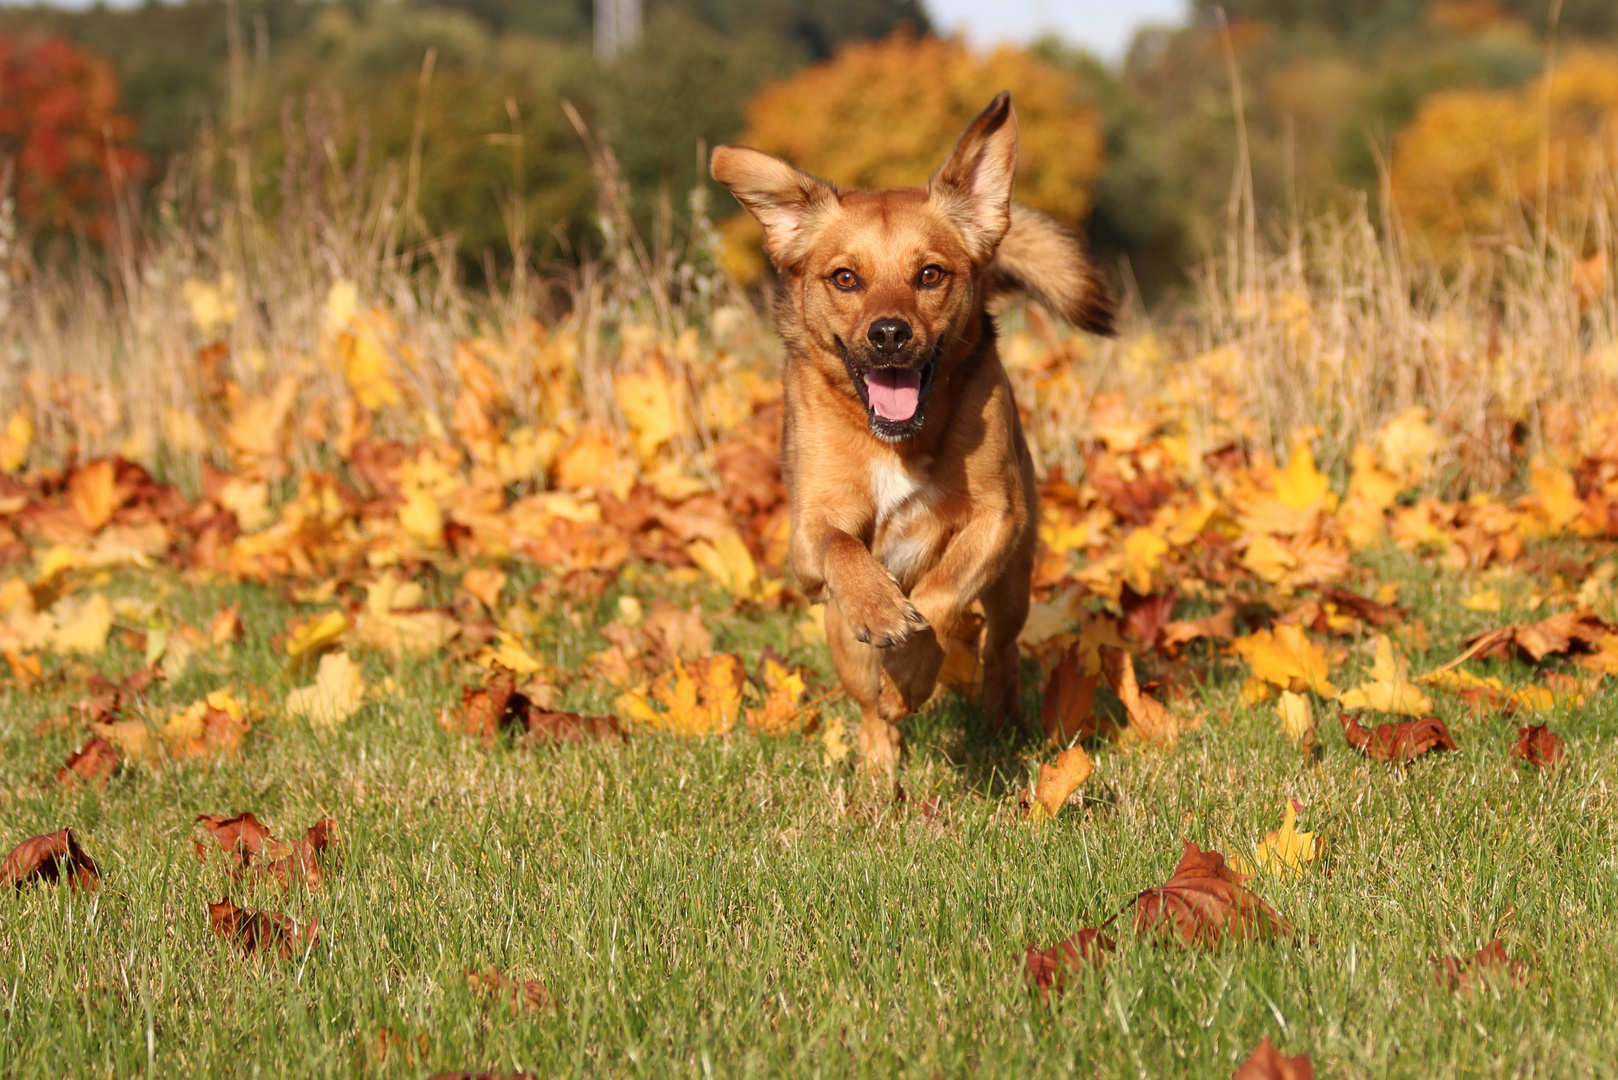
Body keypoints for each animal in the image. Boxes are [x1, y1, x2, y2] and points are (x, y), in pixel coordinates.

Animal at [718, 93, 1113, 767]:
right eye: (845, 278)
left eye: (929, 275)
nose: (888, 334)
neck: (896, 441)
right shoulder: (807, 540)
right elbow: (843, 547)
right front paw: (881, 608)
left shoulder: (997, 519)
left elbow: (942, 594)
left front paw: (913, 665)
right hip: (839, 635)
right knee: (870, 709)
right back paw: (880, 769)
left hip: (1014, 586)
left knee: (999, 651)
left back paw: (1001, 723)